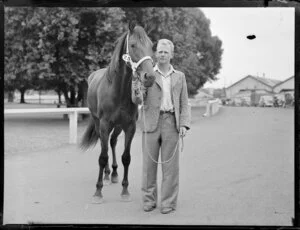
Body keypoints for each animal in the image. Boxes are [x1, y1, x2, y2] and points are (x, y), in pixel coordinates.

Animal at [80, 22, 155, 203]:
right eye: (133, 45)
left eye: (152, 46)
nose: (149, 77)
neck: (117, 90)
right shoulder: (105, 124)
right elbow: (102, 157)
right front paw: (98, 191)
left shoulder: (130, 126)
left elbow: (126, 157)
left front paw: (125, 191)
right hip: (99, 123)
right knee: (104, 145)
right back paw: (106, 175)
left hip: (118, 125)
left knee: (112, 142)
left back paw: (113, 173)